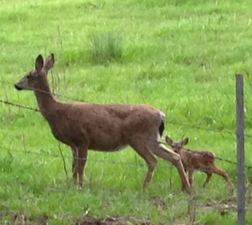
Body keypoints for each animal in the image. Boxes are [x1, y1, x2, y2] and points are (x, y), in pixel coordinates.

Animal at [14, 54, 191, 192]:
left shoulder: (82, 139)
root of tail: (161, 115)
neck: (56, 112)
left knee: (153, 160)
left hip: (138, 137)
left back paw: (144, 187)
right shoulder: (73, 144)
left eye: (28, 75)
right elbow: (73, 167)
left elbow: (80, 167)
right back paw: (187, 187)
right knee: (174, 156)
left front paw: (80, 186)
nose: (16, 85)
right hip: (153, 139)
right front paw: (72, 185)